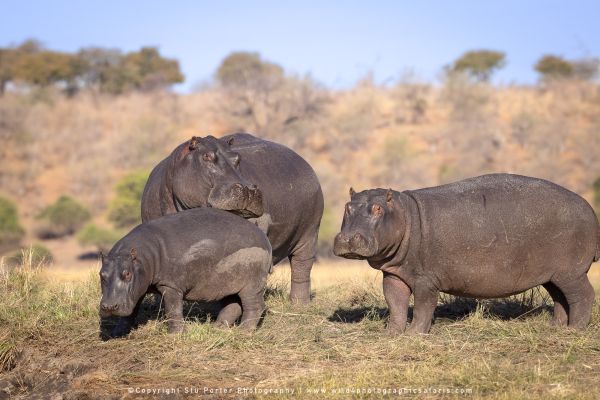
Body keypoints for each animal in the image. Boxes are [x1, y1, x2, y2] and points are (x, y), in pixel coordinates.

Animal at [99, 206, 272, 334]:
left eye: (127, 273)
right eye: (101, 274)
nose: (109, 307)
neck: (142, 257)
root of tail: (263, 236)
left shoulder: (170, 285)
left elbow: (173, 309)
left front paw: (175, 334)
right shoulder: (137, 288)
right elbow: (130, 312)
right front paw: (117, 333)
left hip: (252, 284)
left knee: (254, 305)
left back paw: (244, 332)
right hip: (229, 284)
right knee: (233, 305)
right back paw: (217, 328)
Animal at [142, 133, 324, 304]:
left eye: (238, 158)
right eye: (206, 156)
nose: (248, 189)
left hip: (310, 233)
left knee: (301, 266)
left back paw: (299, 305)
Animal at [336, 173, 596, 332]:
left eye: (378, 209)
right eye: (347, 207)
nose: (347, 238)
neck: (404, 213)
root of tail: (590, 209)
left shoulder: (425, 279)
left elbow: (422, 307)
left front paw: (414, 334)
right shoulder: (394, 274)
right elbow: (395, 303)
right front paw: (392, 333)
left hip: (571, 272)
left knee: (583, 295)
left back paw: (574, 330)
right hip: (553, 275)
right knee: (560, 298)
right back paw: (555, 327)